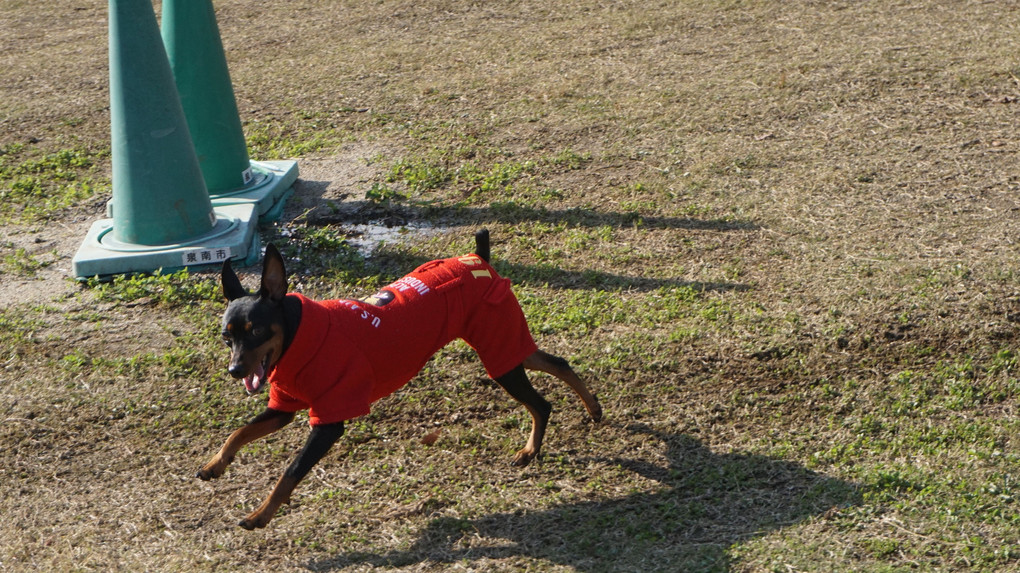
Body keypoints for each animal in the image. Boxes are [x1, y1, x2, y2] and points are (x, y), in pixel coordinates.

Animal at [198, 226, 603, 526]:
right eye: (226, 337)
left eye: (255, 331)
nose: (235, 370)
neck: (298, 338)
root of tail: (477, 258)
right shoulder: (283, 409)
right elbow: (239, 432)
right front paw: (216, 464)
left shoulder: (329, 421)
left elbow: (290, 472)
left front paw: (259, 515)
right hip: (505, 345)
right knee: (557, 362)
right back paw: (593, 408)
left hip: (500, 357)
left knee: (541, 404)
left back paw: (532, 448)